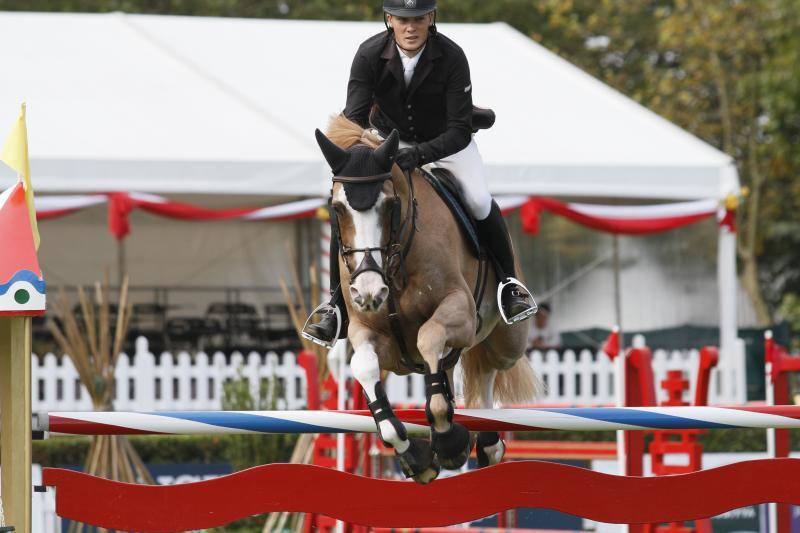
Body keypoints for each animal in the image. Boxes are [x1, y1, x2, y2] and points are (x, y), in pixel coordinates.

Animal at [314, 115, 536, 482]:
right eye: (337, 209)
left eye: (390, 205)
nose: (369, 292)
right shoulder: (371, 334)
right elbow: (364, 366)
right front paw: (416, 457)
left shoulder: (460, 310)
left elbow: (428, 337)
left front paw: (448, 442)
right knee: (452, 367)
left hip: (507, 341)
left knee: (488, 366)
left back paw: (487, 441)